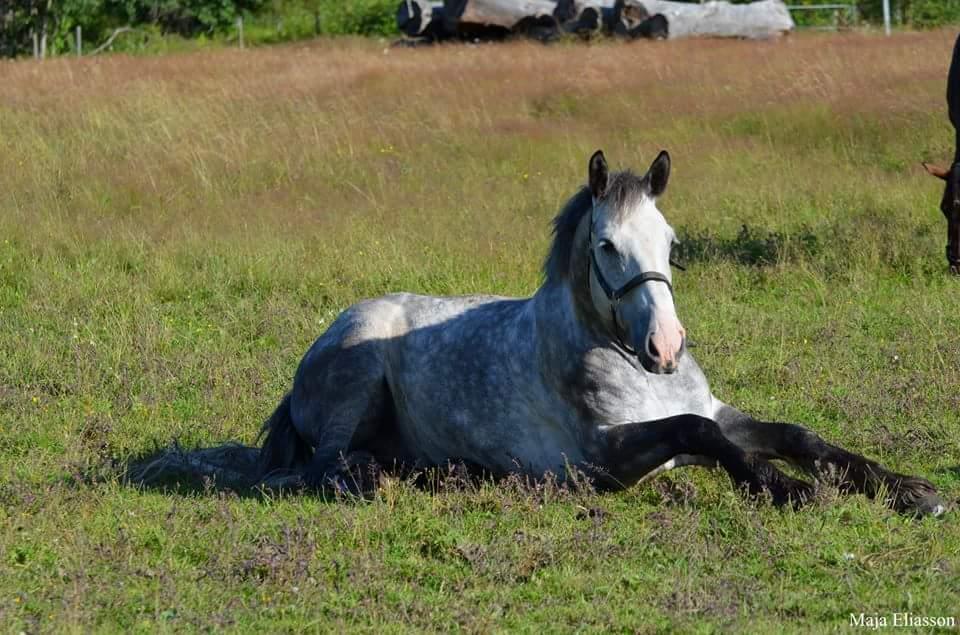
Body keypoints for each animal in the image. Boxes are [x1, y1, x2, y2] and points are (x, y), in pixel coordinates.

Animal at [135, 150, 944, 516]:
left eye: (671, 241)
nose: (666, 350)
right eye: (607, 246)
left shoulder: (716, 412)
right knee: (327, 468)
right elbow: (703, 436)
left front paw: (912, 490)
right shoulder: (606, 458)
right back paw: (408, 479)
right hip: (356, 384)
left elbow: (794, 434)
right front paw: (790, 492)